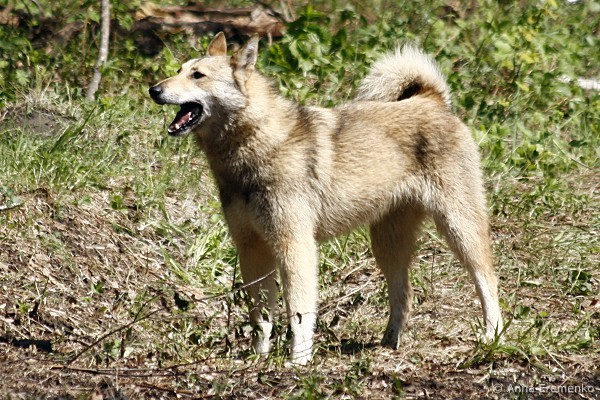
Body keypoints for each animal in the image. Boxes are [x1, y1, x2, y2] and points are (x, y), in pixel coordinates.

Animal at [149, 32, 503, 365]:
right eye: (179, 70)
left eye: (198, 75)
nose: (153, 90)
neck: (256, 146)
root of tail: (432, 101)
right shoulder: (251, 247)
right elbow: (261, 316)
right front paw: (258, 359)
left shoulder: (295, 246)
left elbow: (299, 313)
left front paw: (299, 360)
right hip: (387, 245)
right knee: (404, 294)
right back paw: (388, 344)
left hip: (459, 230)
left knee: (488, 282)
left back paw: (491, 337)